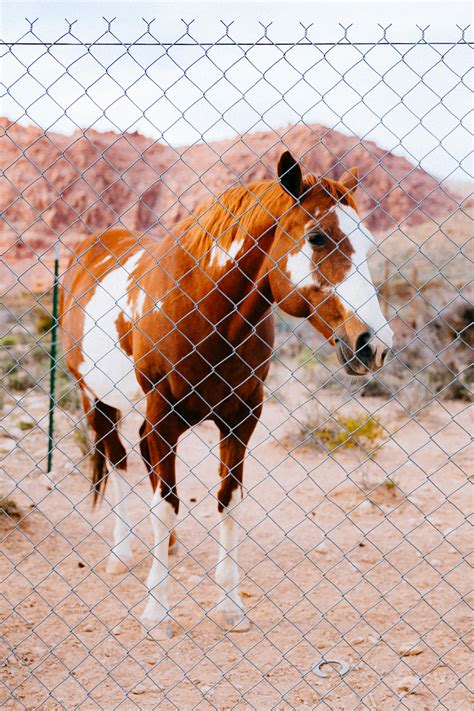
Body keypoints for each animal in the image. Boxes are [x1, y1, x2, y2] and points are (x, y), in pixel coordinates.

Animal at [60, 151, 393, 639]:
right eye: (317, 236)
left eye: (368, 243)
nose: (374, 345)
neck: (204, 309)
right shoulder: (163, 417)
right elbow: (166, 504)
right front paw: (157, 613)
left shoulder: (241, 418)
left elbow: (227, 500)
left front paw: (230, 606)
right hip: (95, 399)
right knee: (116, 460)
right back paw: (121, 555)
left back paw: (167, 547)